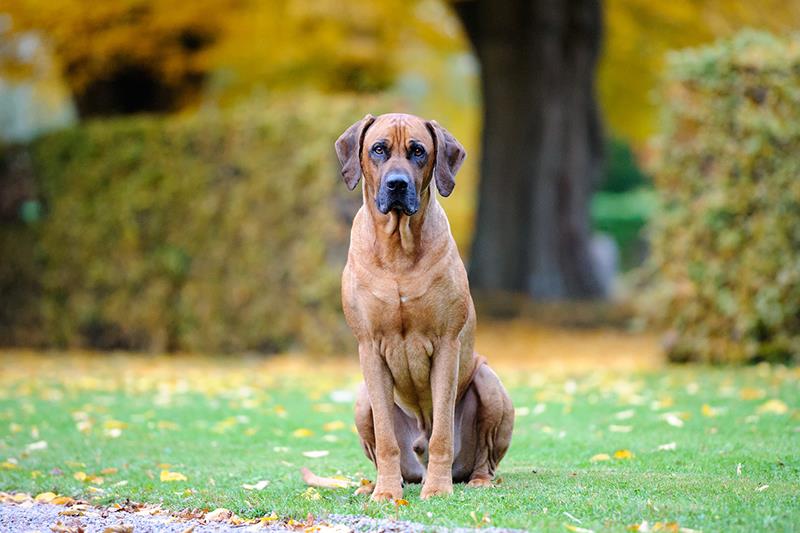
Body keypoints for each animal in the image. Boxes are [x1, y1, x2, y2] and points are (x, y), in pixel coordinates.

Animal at [336, 112, 512, 498]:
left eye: (418, 151)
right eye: (378, 149)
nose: (397, 185)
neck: (398, 249)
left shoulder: (446, 345)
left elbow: (443, 432)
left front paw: (438, 489)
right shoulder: (369, 347)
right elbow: (386, 438)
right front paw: (387, 493)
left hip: (488, 382)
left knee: (484, 458)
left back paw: (475, 480)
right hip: (362, 399)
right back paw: (377, 483)